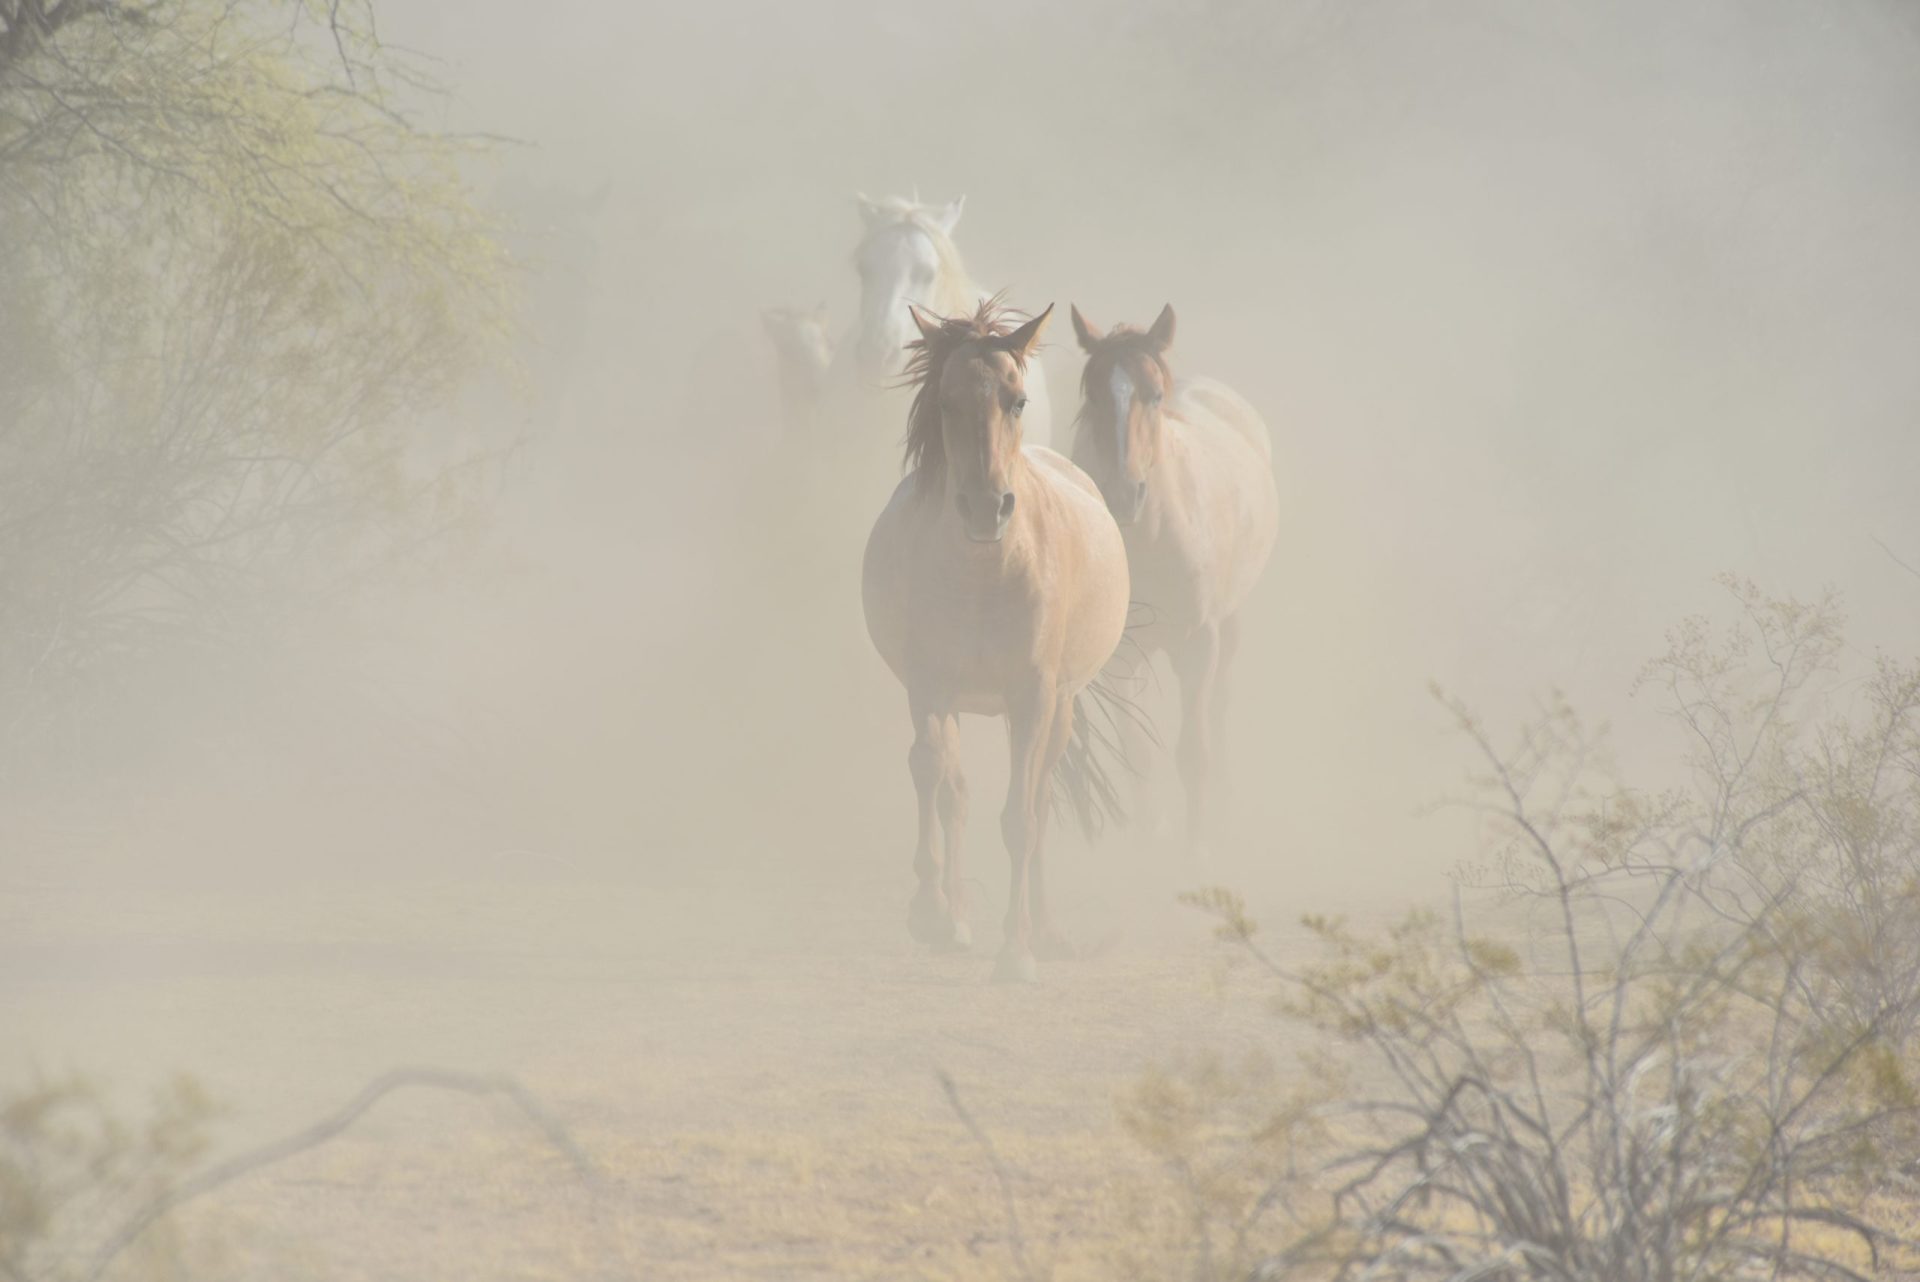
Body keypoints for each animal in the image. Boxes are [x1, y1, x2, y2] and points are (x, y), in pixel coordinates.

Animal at [862, 299, 1131, 981]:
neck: (985, 575)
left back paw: (1048, 931)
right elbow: (932, 776)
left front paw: (1017, 950)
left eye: (1017, 400)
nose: (988, 509)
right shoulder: (929, 686)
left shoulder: (1032, 698)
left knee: (1037, 804)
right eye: (945, 402)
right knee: (954, 793)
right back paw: (957, 918)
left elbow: (1020, 819)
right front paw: (932, 913)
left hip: (1058, 710)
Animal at [1067, 304, 1279, 864]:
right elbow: (1138, 752)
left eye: (1153, 395)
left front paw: (1194, 851)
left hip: (1229, 625)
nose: (1125, 494)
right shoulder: (1121, 658)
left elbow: (1193, 753)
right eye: (1093, 396)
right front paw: (1146, 846)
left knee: (1221, 706)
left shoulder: (1198, 645)